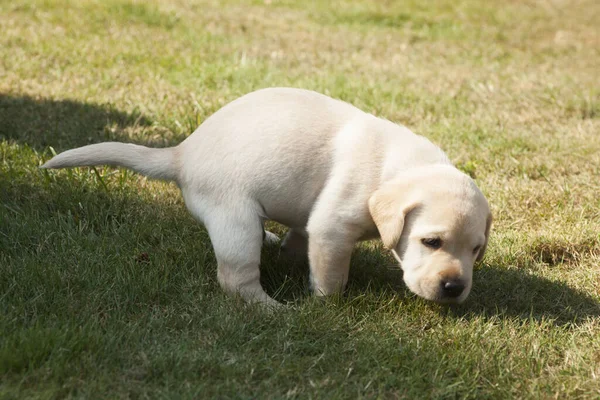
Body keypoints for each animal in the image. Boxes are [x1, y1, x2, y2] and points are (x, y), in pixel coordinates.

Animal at [42, 87, 492, 306]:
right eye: (430, 241)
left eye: (476, 250)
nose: (454, 288)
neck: (399, 168)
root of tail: (182, 153)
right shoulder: (332, 227)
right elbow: (331, 275)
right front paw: (326, 305)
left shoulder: (313, 222)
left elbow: (300, 240)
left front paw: (291, 257)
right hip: (235, 219)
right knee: (236, 279)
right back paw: (274, 310)